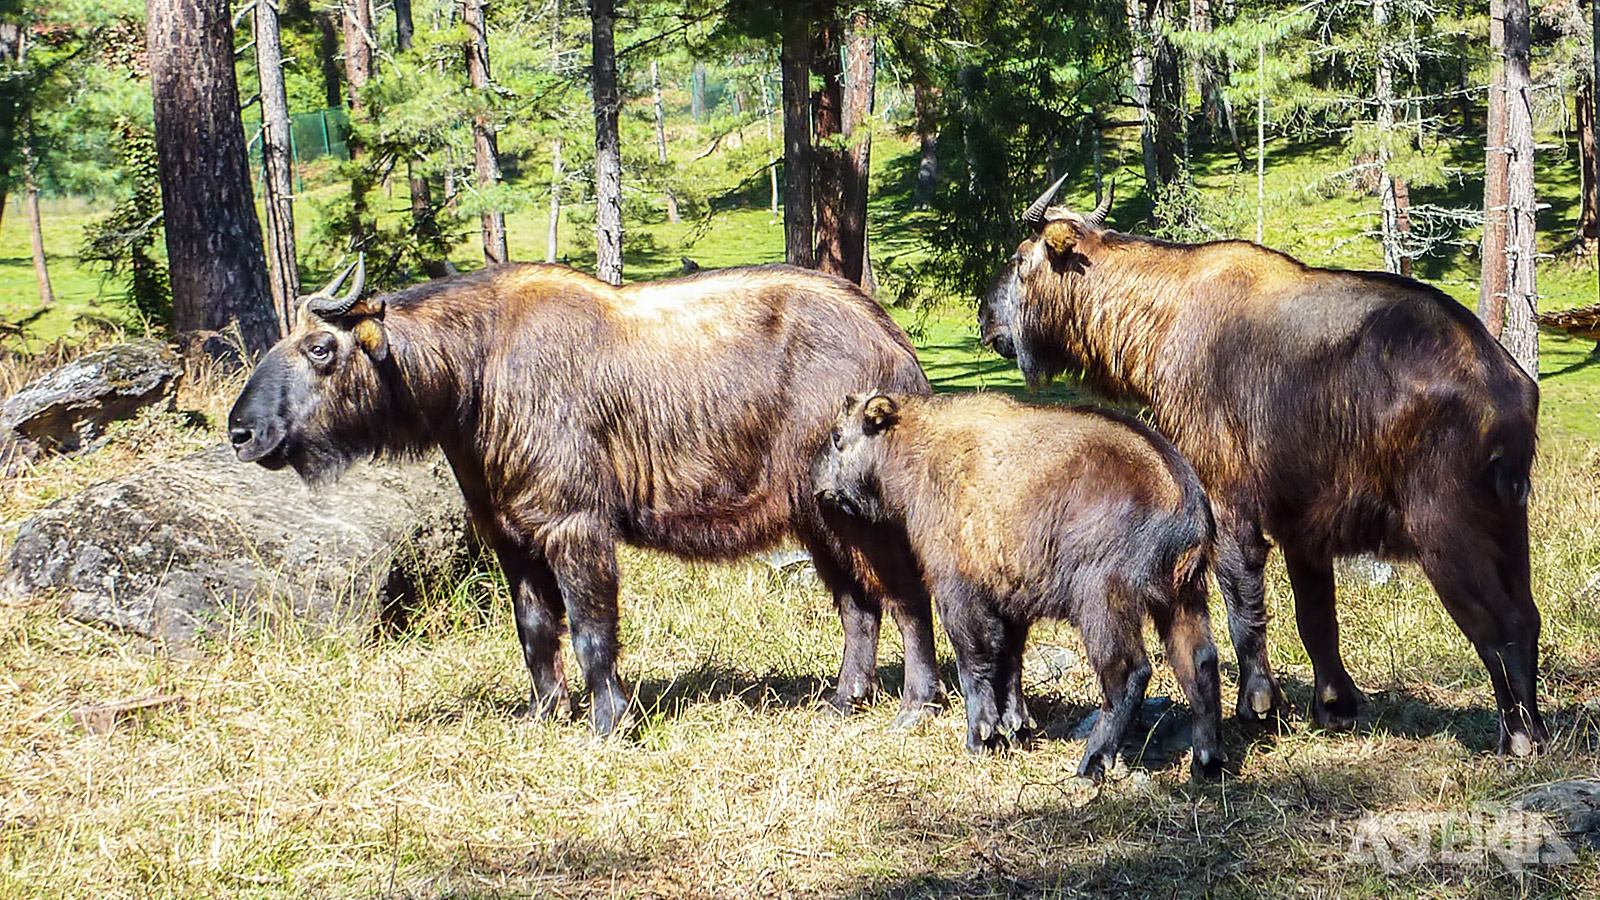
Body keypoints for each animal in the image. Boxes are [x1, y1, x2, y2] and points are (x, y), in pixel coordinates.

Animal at [232, 257, 940, 730]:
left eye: (320, 347)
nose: (241, 430)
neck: (479, 370)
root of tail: (895, 342)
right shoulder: (512, 537)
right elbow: (536, 632)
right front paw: (546, 714)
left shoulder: (575, 526)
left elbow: (591, 631)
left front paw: (609, 721)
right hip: (819, 520)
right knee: (859, 606)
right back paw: (845, 700)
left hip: (860, 516)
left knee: (906, 597)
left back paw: (917, 703)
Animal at [812, 392, 1222, 778]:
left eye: (837, 436)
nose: (815, 482)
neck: (921, 450)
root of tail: (1186, 497)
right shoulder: (1011, 602)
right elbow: (1009, 664)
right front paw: (1015, 729)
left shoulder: (958, 593)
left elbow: (975, 663)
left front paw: (981, 737)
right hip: (1183, 599)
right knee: (1199, 662)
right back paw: (1206, 760)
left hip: (1103, 601)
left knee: (1127, 674)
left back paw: (1092, 763)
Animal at [979, 175, 1542, 749]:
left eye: (1021, 259)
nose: (984, 316)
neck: (1164, 314)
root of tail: (1506, 387)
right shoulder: (1304, 527)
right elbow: (1316, 618)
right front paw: (1334, 707)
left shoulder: (1226, 498)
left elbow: (1241, 604)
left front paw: (1258, 704)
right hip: (1507, 522)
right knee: (1528, 618)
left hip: (1446, 532)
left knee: (1500, 627)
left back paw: (1519, 735)